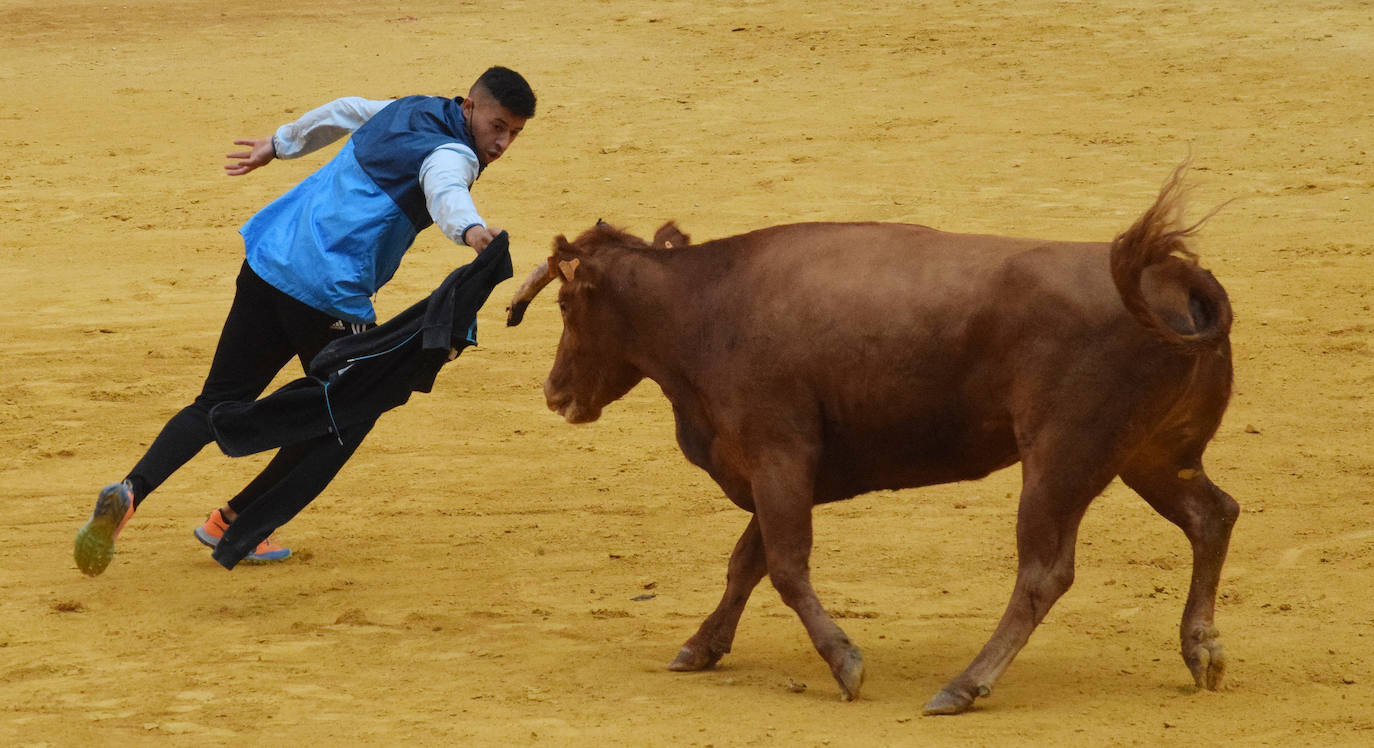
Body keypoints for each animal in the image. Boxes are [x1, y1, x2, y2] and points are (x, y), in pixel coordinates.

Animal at [511, 167, 1242, 715]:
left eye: (566, 305)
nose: (553, 393)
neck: (704, 306)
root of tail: (1170, 279)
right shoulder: (780, 468)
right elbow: (747, 561)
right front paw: (700, 647)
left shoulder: (777, 454)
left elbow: (784, 565)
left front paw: (845, 663)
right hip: (1153, 456)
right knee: (1212, 516)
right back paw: (1202, 650)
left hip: (1060, 460)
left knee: (1044, 572)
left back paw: (964, 685)